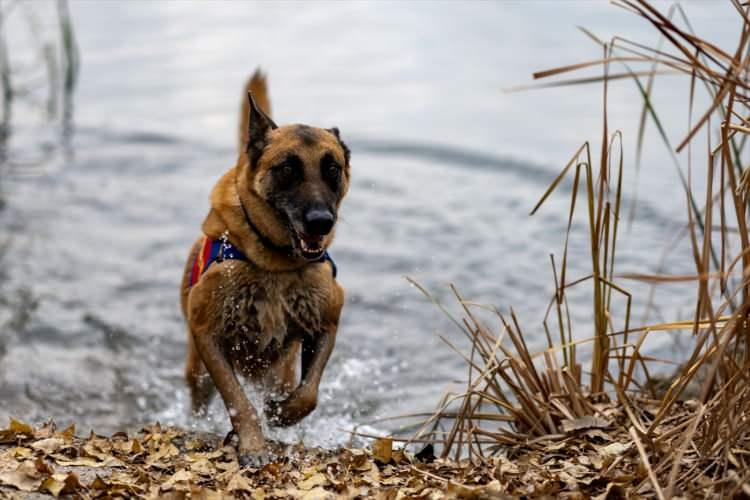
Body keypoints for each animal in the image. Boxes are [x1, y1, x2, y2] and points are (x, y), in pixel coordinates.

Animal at [181, 69, 352, 464]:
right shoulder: (208, 335)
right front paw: (254, 445)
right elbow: (238, 401)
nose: (322, 222)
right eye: (287, 168)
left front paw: (281, 414)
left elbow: (309, 394)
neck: (276, 262)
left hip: (279, 370)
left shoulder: (326, 324)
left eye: (332, 169)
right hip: (197, 370)